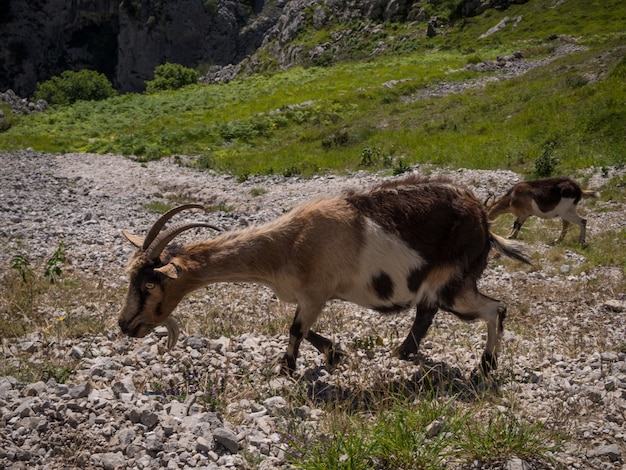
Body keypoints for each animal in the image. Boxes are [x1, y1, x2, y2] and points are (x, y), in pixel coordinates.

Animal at [117, 175, 528, 374]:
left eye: (151, 283)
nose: (125, 325)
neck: (289, 242)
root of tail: (482, 218)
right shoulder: (312, 296)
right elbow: (304, 328)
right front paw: (334, 353)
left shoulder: (315, 293)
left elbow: (295, 329)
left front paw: (287, 369)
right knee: (427, 312)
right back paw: (403, 352)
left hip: (454, 281)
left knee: (495, 308)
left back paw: (485, 367)